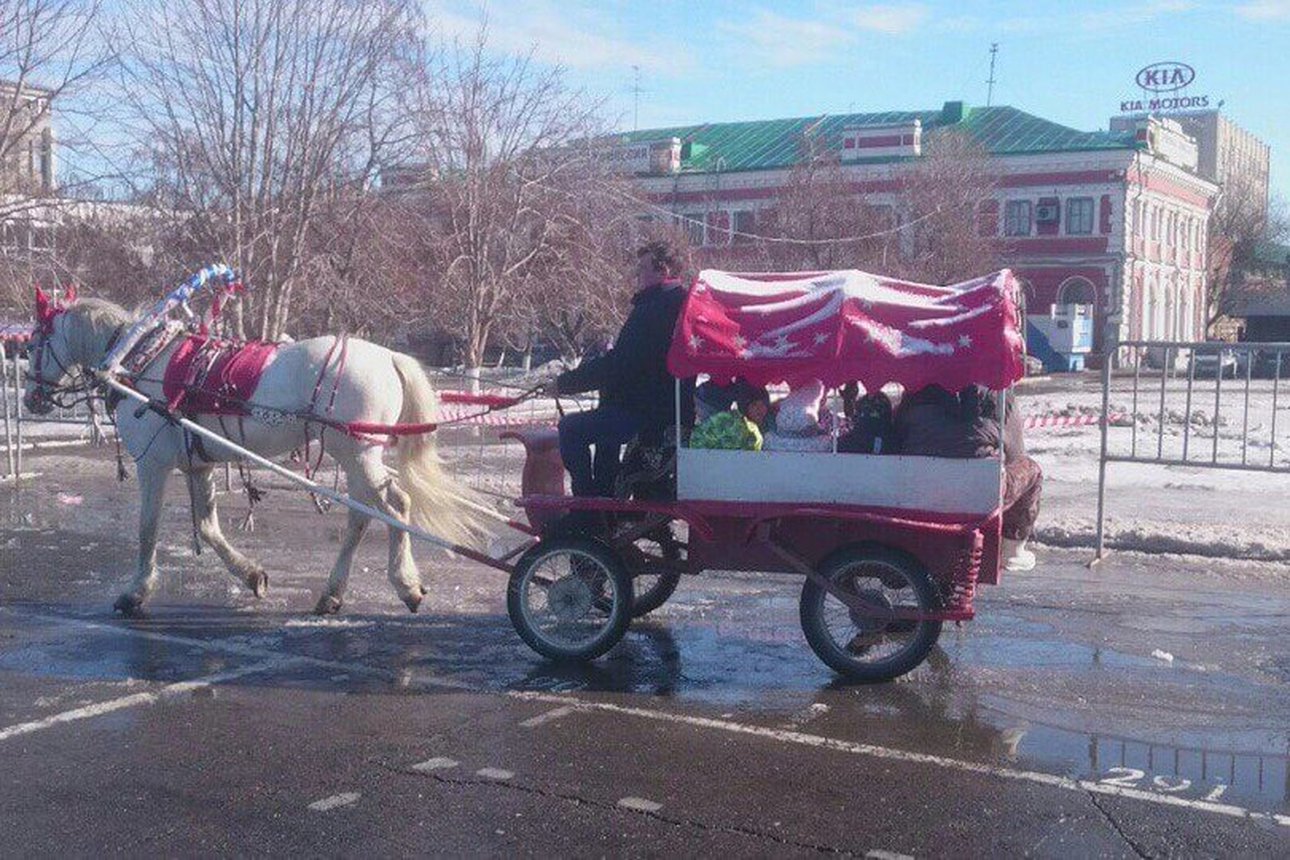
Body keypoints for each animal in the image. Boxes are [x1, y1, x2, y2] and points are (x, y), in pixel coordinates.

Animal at [22, 296, 477, 618]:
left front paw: (135, 593)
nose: (30, 398)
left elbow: (147, 530)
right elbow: (207, 528)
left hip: (359, 453)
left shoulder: (152, 465)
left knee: (396, 505)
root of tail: (390, 356)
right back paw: (332, 594)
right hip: (356, 456)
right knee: (362, 516)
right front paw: (252, 575)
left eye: (33, 343)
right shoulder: (199, 463)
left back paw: (405, 584)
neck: (142, 361)